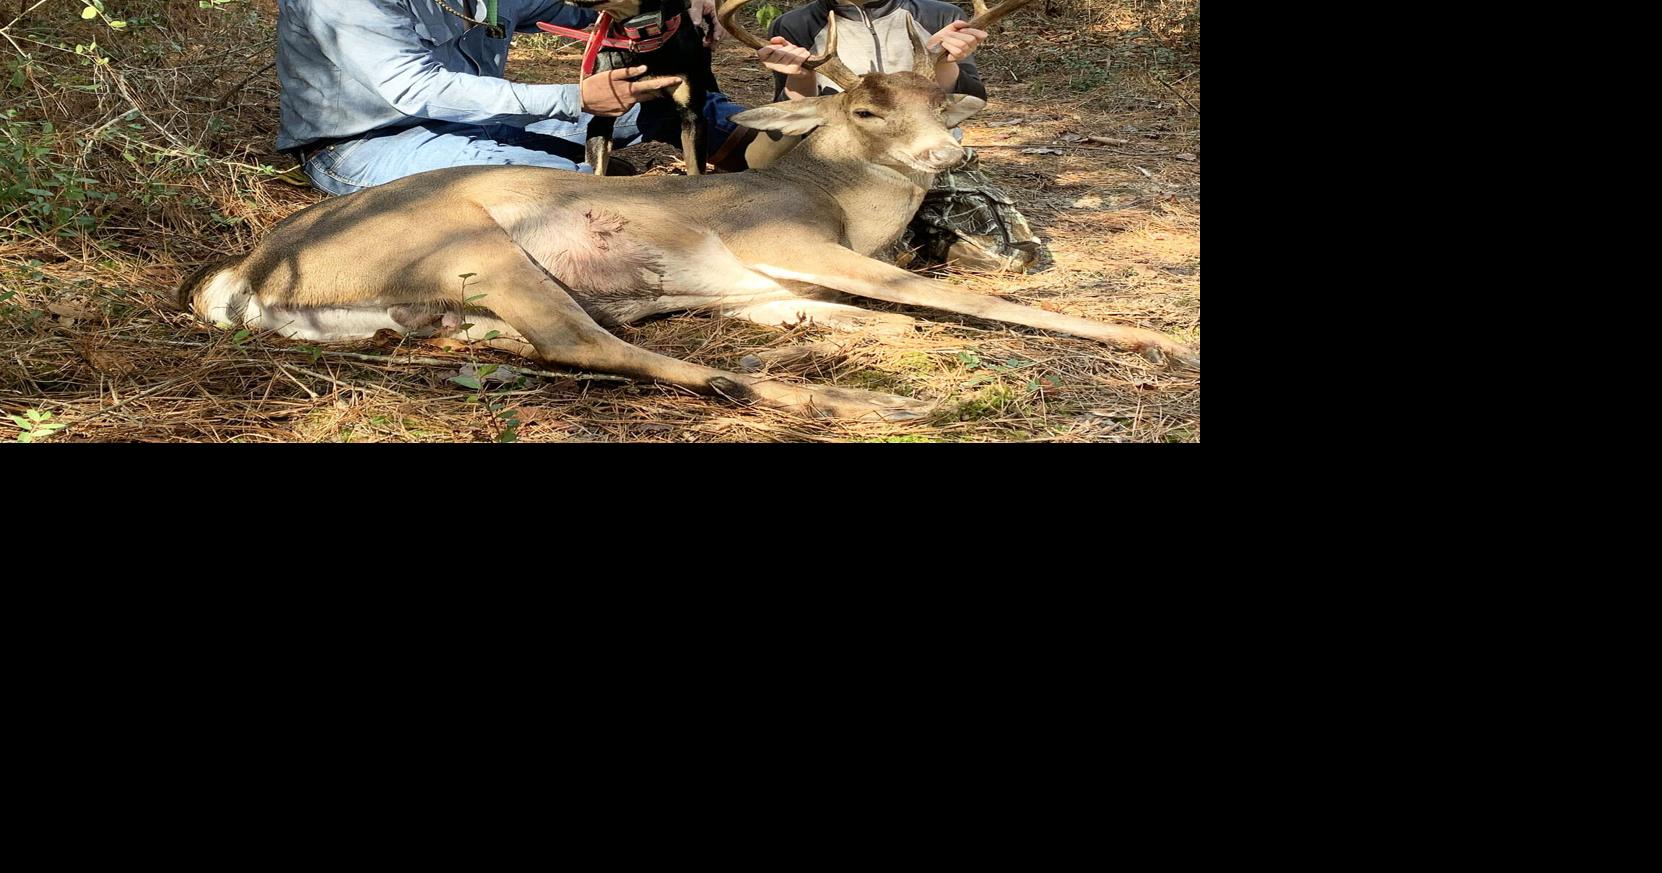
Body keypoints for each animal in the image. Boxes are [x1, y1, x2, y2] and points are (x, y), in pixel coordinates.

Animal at [176, 0, 1197, 422]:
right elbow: (964, 300)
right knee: (587, 343)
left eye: (944, 103)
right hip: (464, 243)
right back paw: (858, 399)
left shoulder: (765, 286)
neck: (828, 199)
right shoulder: (786, 239)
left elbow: (885, 315)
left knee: (535, 341)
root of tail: (238, 277)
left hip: (429, 308)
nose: (951, 156)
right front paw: (1158, 339)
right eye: (869, 111)